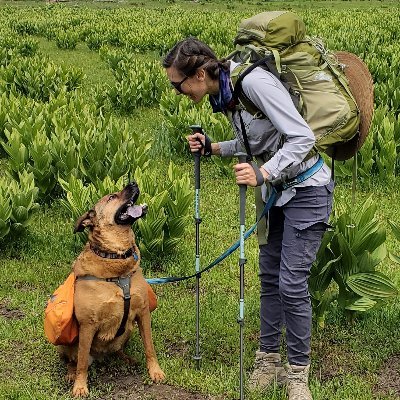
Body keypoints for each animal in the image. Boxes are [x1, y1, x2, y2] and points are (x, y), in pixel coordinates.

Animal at [59, 182, 164, 396]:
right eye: (112, 197)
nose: (133, 182)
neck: (115, 258)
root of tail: (101, 356)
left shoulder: (143, 313)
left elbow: (150, 347)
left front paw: (155, 371)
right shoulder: (87, 325)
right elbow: (82, 362)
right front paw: (80, 386)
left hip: (128, 330)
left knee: (117, 350)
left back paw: (127, 358)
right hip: (67, 343)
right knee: (74, 360)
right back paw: (71, 374)